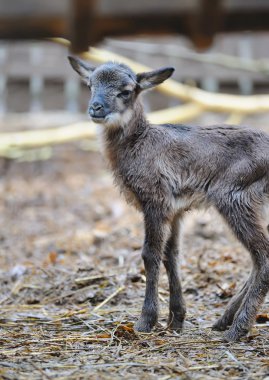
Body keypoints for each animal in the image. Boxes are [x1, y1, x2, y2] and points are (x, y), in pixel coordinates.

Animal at [68, 55, 266, 342]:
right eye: (90, 84)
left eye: (126, 91)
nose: (96, 108)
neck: (139, 144)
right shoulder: (176, 209)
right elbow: (171, 254)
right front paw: (176, 320)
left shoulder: (155, 199)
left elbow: (150, 254)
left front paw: (145, 321)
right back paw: (223, 320)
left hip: (234, 196)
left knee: (263, 255)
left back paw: (237, 329)